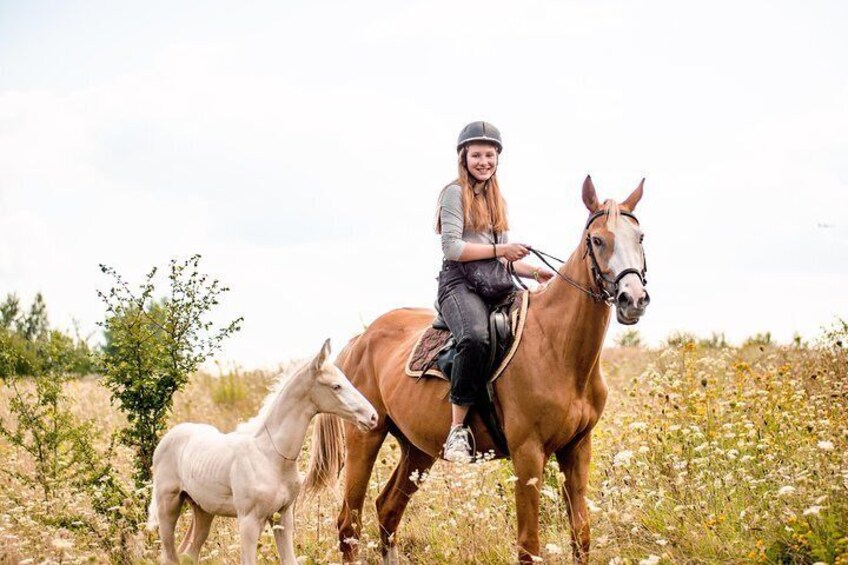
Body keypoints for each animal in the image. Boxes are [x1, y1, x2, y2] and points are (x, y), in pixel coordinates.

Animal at [147, 338, 378, 560]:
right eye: (336, 386)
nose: (372, 417)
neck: (271, 457)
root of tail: (167, 439)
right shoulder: (248, 521)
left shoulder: (283, 517)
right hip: (168, 507)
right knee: (170, 555)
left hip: (203, 510)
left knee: (188, 553)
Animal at [308, 175, 652, 560]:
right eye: (597, 240)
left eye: (639, 237)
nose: (633, 299)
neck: (557, 347)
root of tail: (361, 339)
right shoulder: (528, 454)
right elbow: (529, 546)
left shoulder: (578, 449)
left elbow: (581, 536)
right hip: (364, 437)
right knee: (349, 525)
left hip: (418, 449)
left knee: (387, 510)